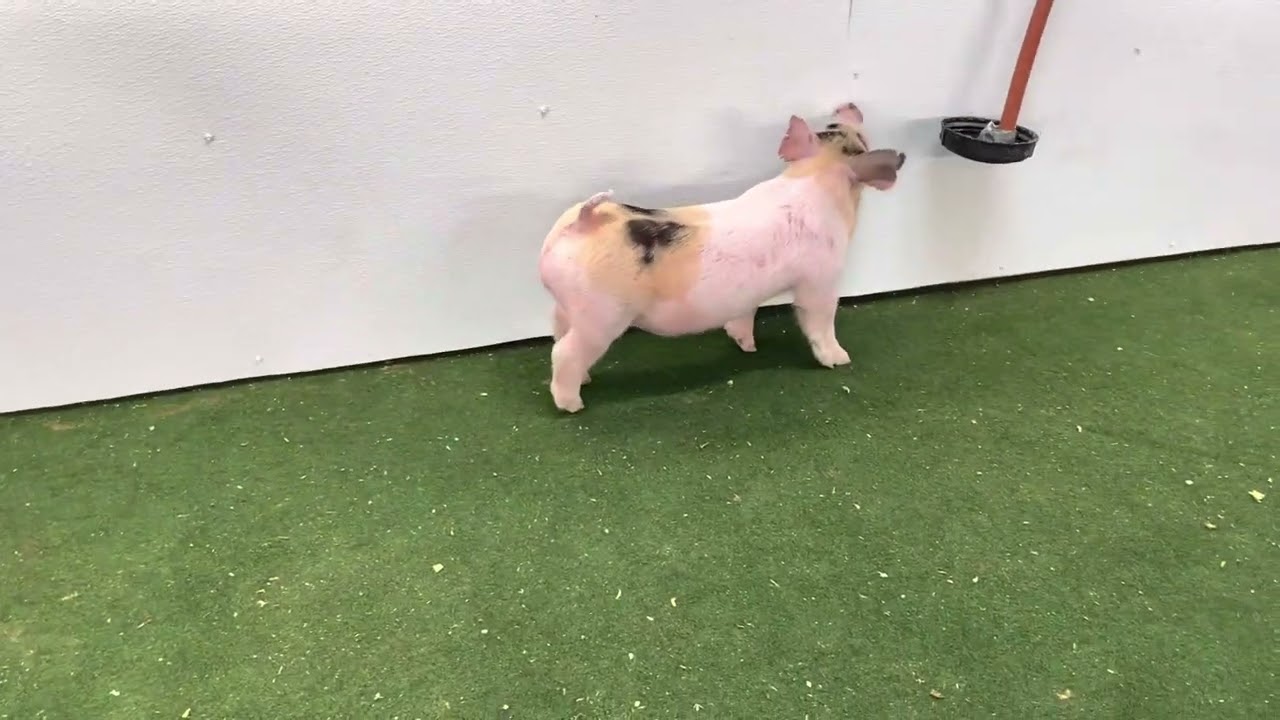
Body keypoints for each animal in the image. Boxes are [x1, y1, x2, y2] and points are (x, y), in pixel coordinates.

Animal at [537, 102, 905, 412]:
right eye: (862, 141)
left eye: (832, 126)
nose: (849, 107)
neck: (816, 177)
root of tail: (583, 222)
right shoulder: (821, 277)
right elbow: (820, 319)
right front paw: (840, 359)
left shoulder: (747, 295)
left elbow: (743, 316)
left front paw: (748, 347)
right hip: (602, 315)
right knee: (563, 352)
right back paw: (573, 405)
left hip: (567, 307)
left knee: (557, 333)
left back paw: (585, 380)